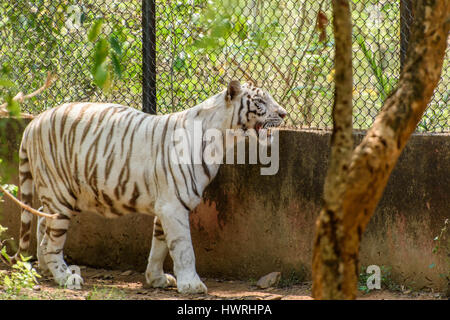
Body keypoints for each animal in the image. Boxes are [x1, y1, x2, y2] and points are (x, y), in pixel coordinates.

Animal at [1, 80, 286, 292]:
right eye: (260, 102)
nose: (284, 113)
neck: (222, 139)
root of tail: (34, 121)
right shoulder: (173, 206)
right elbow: (183, 247)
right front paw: (192, 285)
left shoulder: (166, 205)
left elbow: (160, 246)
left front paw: (156, 278)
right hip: (61, 195)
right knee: (52, 238)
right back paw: (64, 276)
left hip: (62, 195)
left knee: (41, 222)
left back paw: (45, 268)